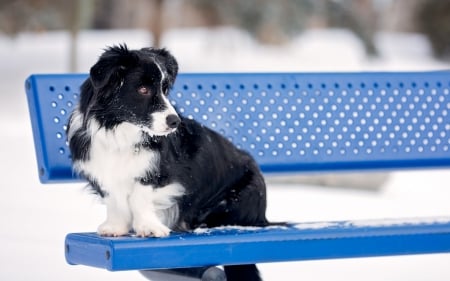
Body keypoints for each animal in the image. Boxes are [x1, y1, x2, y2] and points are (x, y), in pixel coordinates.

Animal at [67, 44, 270, 278]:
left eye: (165, 89)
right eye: (143, 90)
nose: (175, 122)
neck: (121, 131)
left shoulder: (163, 175)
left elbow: (138, 196)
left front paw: (148, 227)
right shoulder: (102, 173)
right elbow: (115, 200)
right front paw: (115, 228)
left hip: (240, 195)